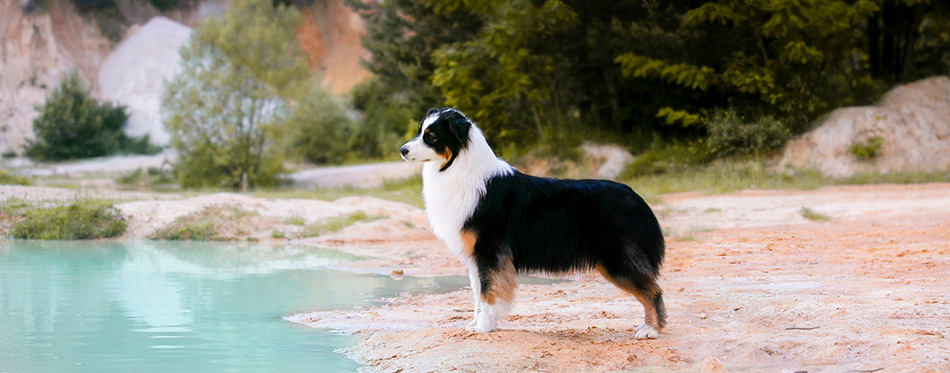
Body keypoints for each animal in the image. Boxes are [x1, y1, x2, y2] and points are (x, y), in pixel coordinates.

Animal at [398, 107, 664, 338]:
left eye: (431, 137)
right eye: (419, 131)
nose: (402, 150)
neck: (457, 167)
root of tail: (636, 197)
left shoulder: (489, 251)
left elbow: (488, 292)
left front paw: (484, 327)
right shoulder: (474, 257)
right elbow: (478, 294)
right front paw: (476, 323)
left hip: (616, 259)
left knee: (653, 291)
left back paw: (651, 330)